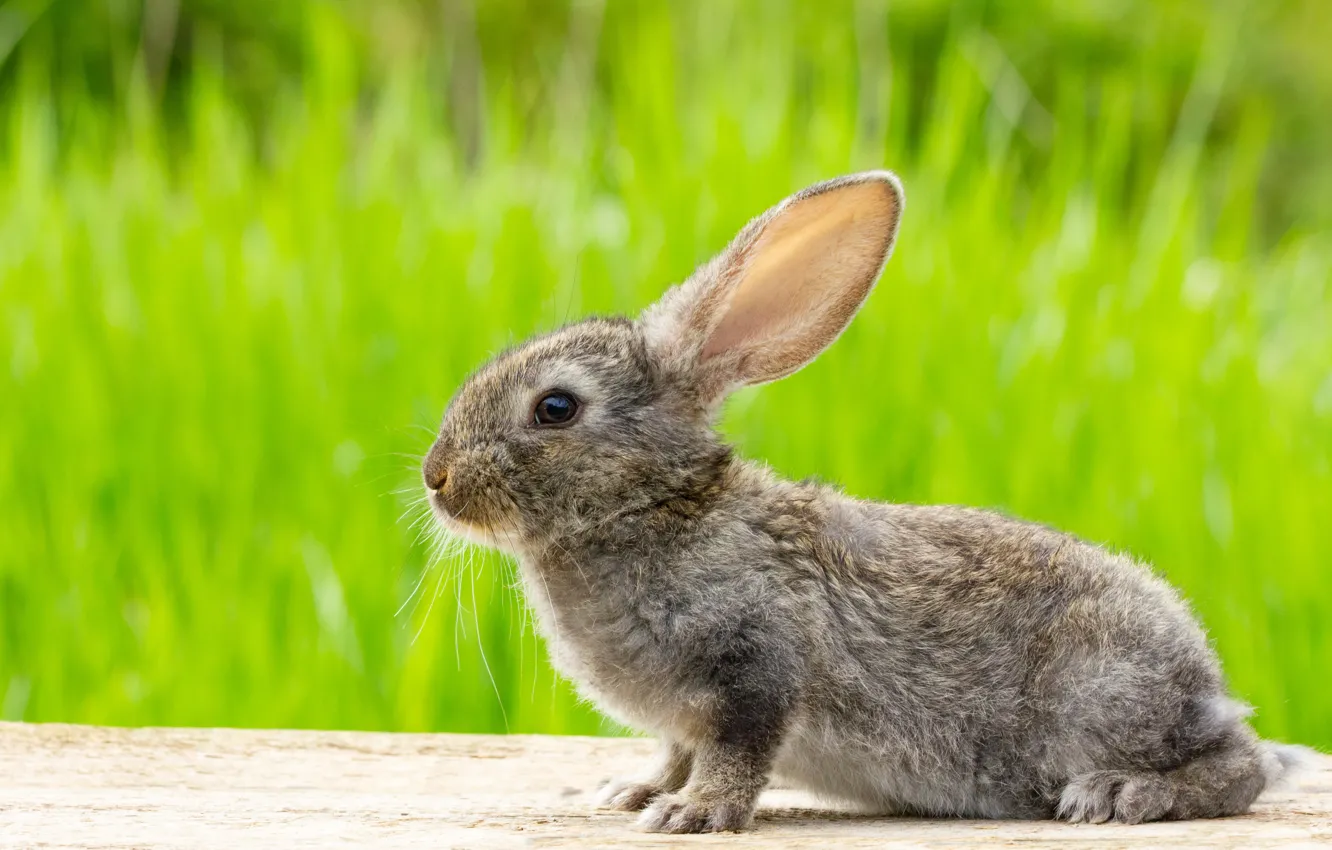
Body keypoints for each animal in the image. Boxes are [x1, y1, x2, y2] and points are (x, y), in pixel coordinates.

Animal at [421, 171, 1312, 833]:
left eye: (556, 408)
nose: (435, 477)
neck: (652, 507)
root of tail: (1201, 676)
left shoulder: (758, 667)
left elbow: (736, 752)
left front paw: (694, 813)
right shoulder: (685, 715)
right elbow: (676, 749)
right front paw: (637, 791)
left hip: (1104, 695)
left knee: (1241, 766)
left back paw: (1122, 794)